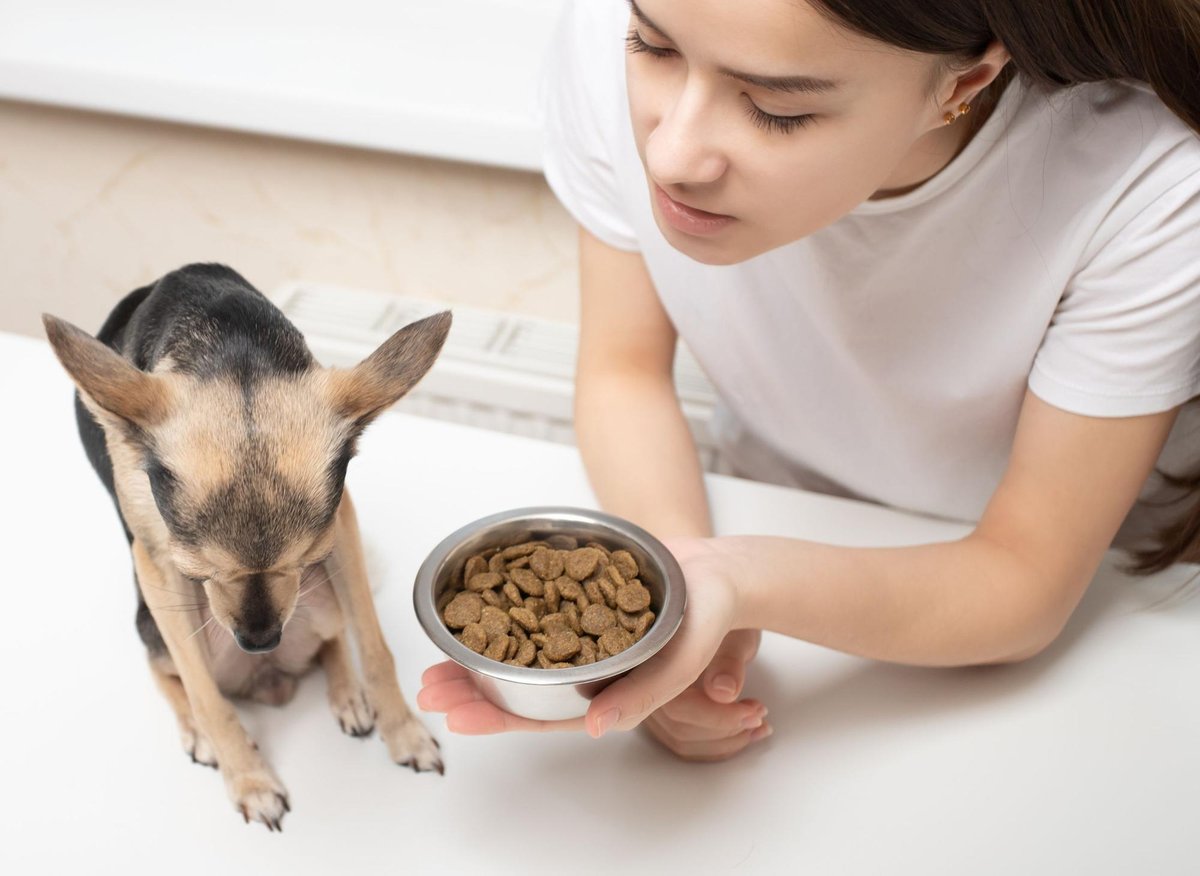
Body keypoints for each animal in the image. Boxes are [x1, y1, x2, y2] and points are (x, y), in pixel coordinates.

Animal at [43, 262, 451, 830]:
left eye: (307, 558)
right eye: (197, 570)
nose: (260, 641)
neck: (231, 347)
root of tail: (269, 681)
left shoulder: (341, 527)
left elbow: (374, 646)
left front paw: (404, 733)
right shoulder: (158, 563)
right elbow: (207, 697)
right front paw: (250, 781)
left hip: (322, 600)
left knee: (333, 639)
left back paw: (348, 694)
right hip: (154, 621)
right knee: (167, 670)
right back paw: (196, 731)